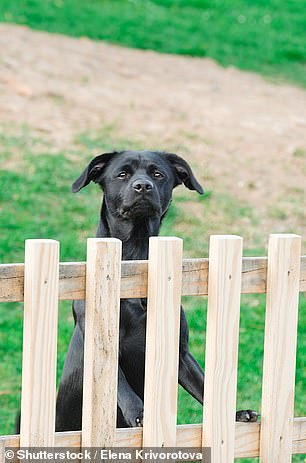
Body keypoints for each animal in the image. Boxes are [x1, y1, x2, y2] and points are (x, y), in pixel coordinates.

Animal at [55, 152, 258, 432]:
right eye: (122, 174)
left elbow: (203, 384)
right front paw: (139, 412)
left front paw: (235, 413)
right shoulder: (103, 349)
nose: (143, 186)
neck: (136, 258)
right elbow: (119, 383)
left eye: (158, 174)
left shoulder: (180, 353)